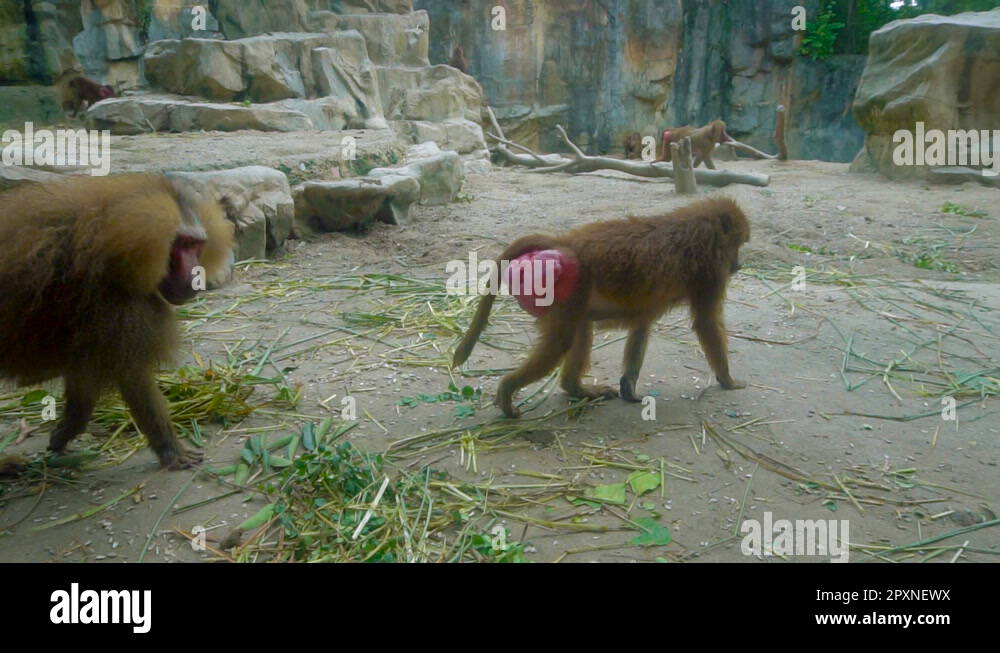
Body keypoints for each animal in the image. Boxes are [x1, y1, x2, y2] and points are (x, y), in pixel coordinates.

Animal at [0, 174, 235, 469]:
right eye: (182, 244)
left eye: (196, 244)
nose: (197, 275)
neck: (108, 247)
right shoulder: (117, 306)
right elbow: (132, 376)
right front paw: (171, 449)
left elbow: (84, 377)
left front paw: (66, 431)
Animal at [452, 197, 750, 418]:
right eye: (737, 245)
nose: (738, 265)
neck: (702, 223)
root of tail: (567, 243)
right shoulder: (712, 268)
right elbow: (706, 323)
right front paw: (728, 380)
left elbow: (642, 325)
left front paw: (628, 388)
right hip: (572, 285)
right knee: (560, 343)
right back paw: (507, 391)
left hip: (572, 293)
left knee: (581, 330)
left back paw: (576, 389)